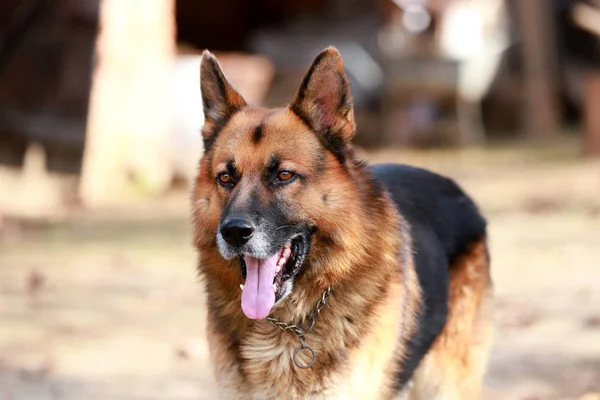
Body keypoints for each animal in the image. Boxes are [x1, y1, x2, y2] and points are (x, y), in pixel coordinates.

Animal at [192, 48, 492, 398]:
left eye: (284, 175)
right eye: (225, 178)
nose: (233, 232)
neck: (291, 322)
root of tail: (454, 186)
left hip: (446, 381)